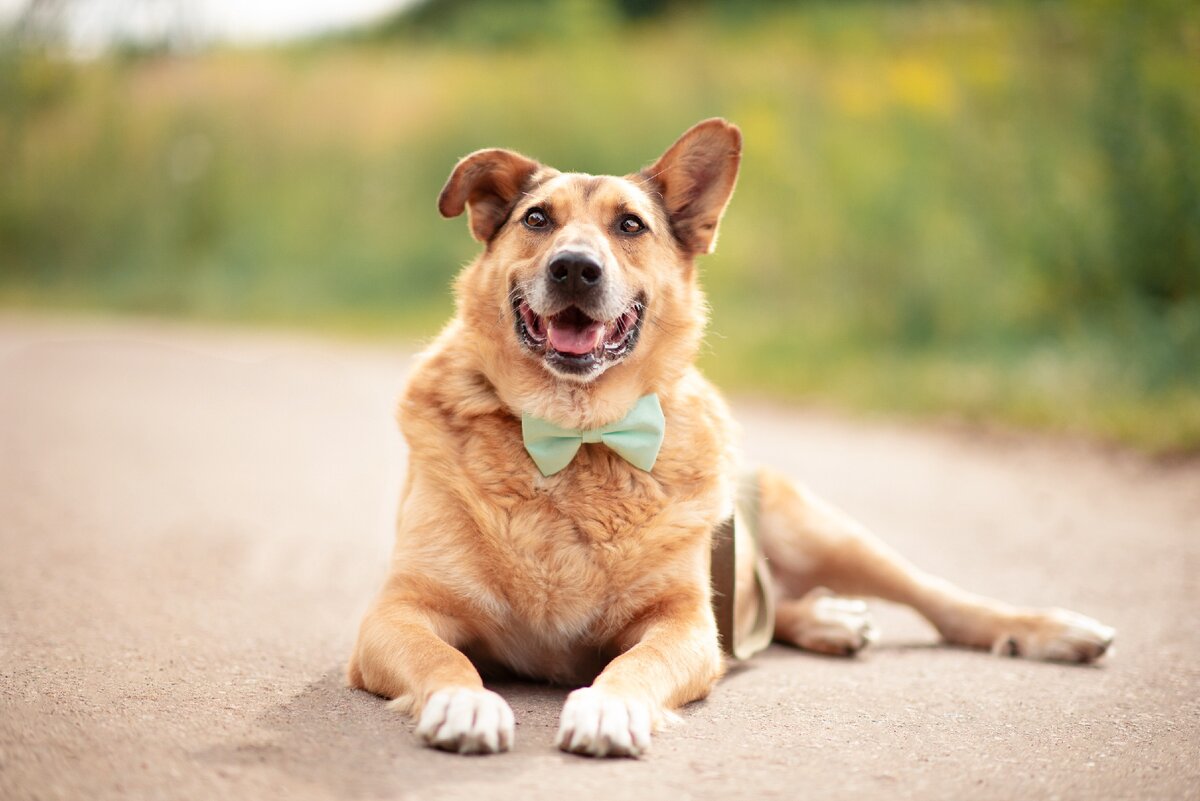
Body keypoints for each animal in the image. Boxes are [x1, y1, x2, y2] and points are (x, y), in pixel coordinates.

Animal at [348, 117, 1113, 757]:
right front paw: (465, 702)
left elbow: (636, 665)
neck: (576, 435)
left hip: (824, 531)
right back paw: (828, 621)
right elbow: (447, 659)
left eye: (630, 225)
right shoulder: (397, 615)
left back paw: (1050, 630)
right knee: (768, 616)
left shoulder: (684, 624)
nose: (574, 268)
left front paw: (607, 708)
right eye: (537, 219)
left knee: (944, 602)